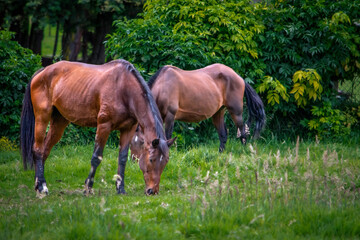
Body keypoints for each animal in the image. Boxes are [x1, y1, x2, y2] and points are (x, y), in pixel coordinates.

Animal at [21, 59, 176, 196]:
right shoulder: (103, 126)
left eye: (165, 161)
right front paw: (88, 188)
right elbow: (96, 157)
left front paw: (120, 189)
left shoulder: (128, 129)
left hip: (59, 122)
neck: (124, 89)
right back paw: (42, 187)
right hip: (42, 117)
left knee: (45, 150)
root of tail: (42, 72)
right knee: (38, 150)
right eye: (151, 160)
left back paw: (38, 184)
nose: (152, 191)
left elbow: (122, 158)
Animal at [130, 62, 264, 156]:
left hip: (236, 112)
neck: (163, 86)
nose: (134, 159)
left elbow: (167, 136)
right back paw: (220, 155)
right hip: (218, 113)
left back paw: (244, 151)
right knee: (223, 135)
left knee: (242, 131)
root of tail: (240, 78)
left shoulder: (170, 116)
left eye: (141, 142)